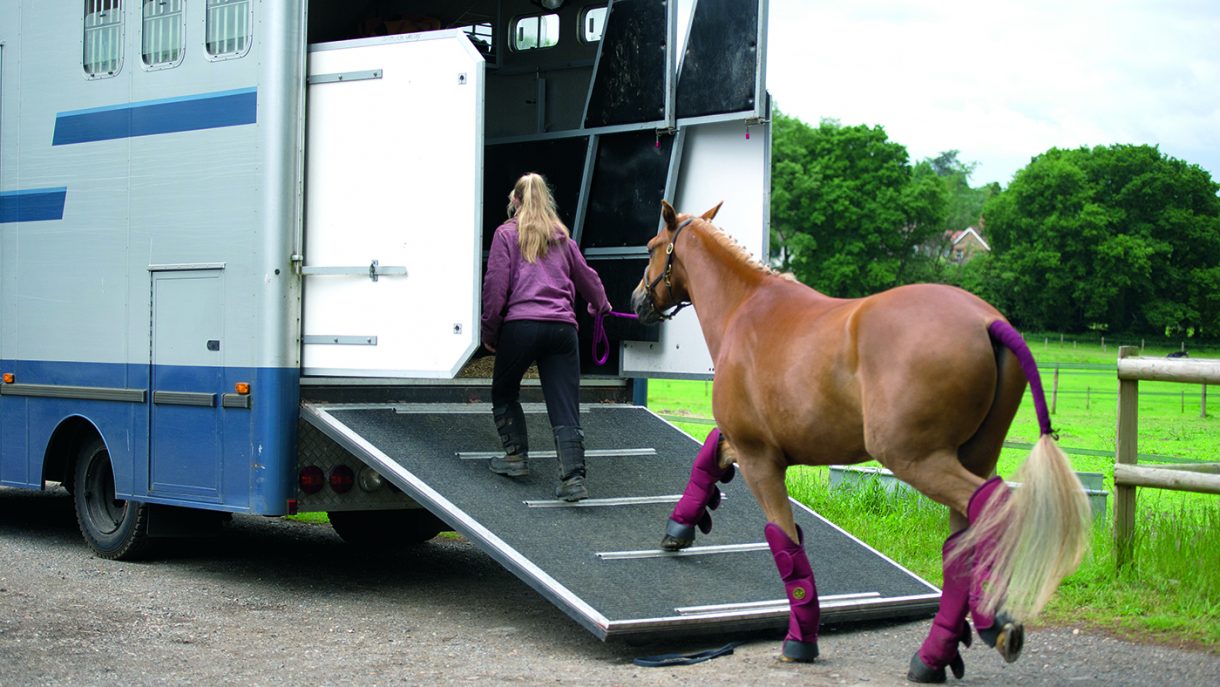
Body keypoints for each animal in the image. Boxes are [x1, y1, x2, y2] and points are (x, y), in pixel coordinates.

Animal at [631, 201, 1091, 682]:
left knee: (995, 508)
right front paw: (680, 526)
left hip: (918, 459)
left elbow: (787, 544)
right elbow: (710, 455)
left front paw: (801, 641)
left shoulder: (761, 460)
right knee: (963, 544)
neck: (746, 308)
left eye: (652, 246)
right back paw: (935, 655)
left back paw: (992, 623)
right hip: (973, 457)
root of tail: (990, 322)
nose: (637, 300)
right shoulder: (746, 442)